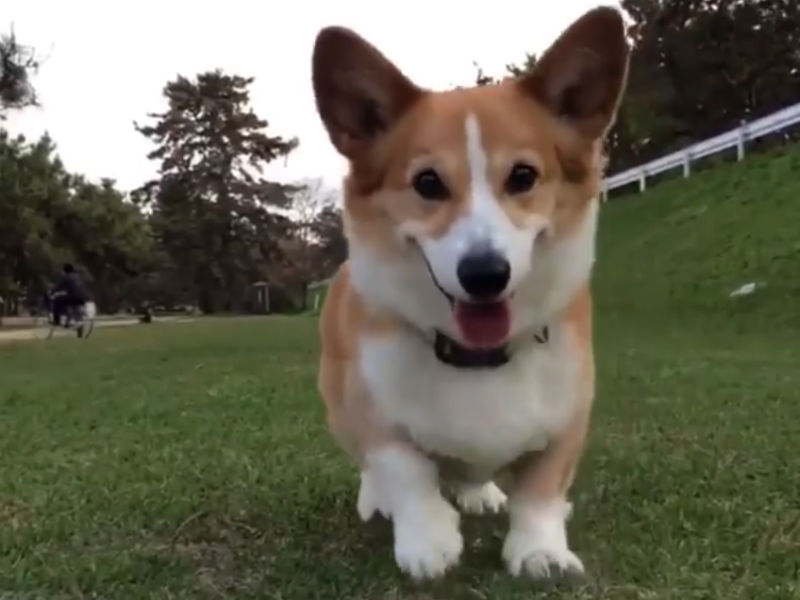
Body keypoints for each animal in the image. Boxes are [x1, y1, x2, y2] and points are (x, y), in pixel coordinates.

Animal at [312, 5, 632, 580]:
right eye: (427, 183)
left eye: (524, 176)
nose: (485, 273)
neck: (476, 357)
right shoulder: (376, 414)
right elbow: (406, 473)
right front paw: (428, 544)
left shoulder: (568, 421)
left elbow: (541, 493)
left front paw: (540, 552)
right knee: (370, 466)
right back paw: (377, 502)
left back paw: (480, 492)